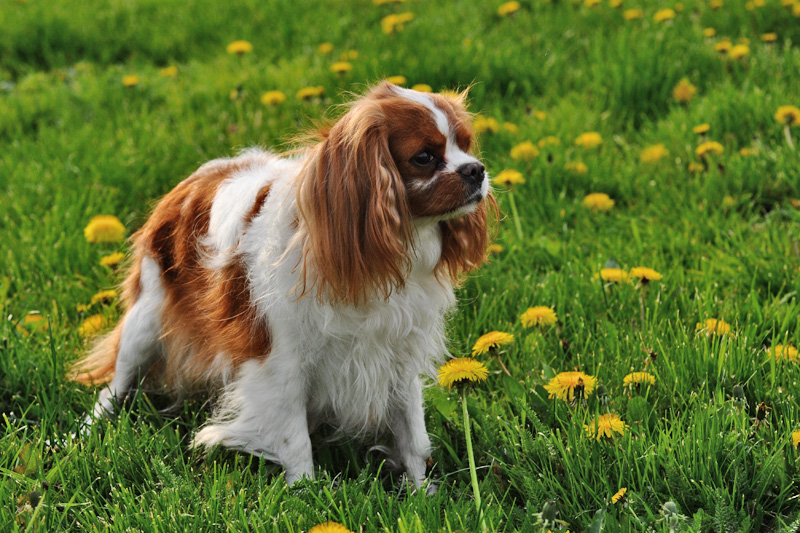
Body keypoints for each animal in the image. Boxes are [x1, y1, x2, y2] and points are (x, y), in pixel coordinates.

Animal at [71, 81, 494, 488]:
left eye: (465, 145)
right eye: (424, 157)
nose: (477, 170)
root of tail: (201, 174)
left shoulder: (398, 350)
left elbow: (411, 430)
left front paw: (421, 490)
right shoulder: (280, 359)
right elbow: (293, 435)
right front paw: (305, 491)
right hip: (147, 318)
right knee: (113, 385)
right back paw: (83, 433)